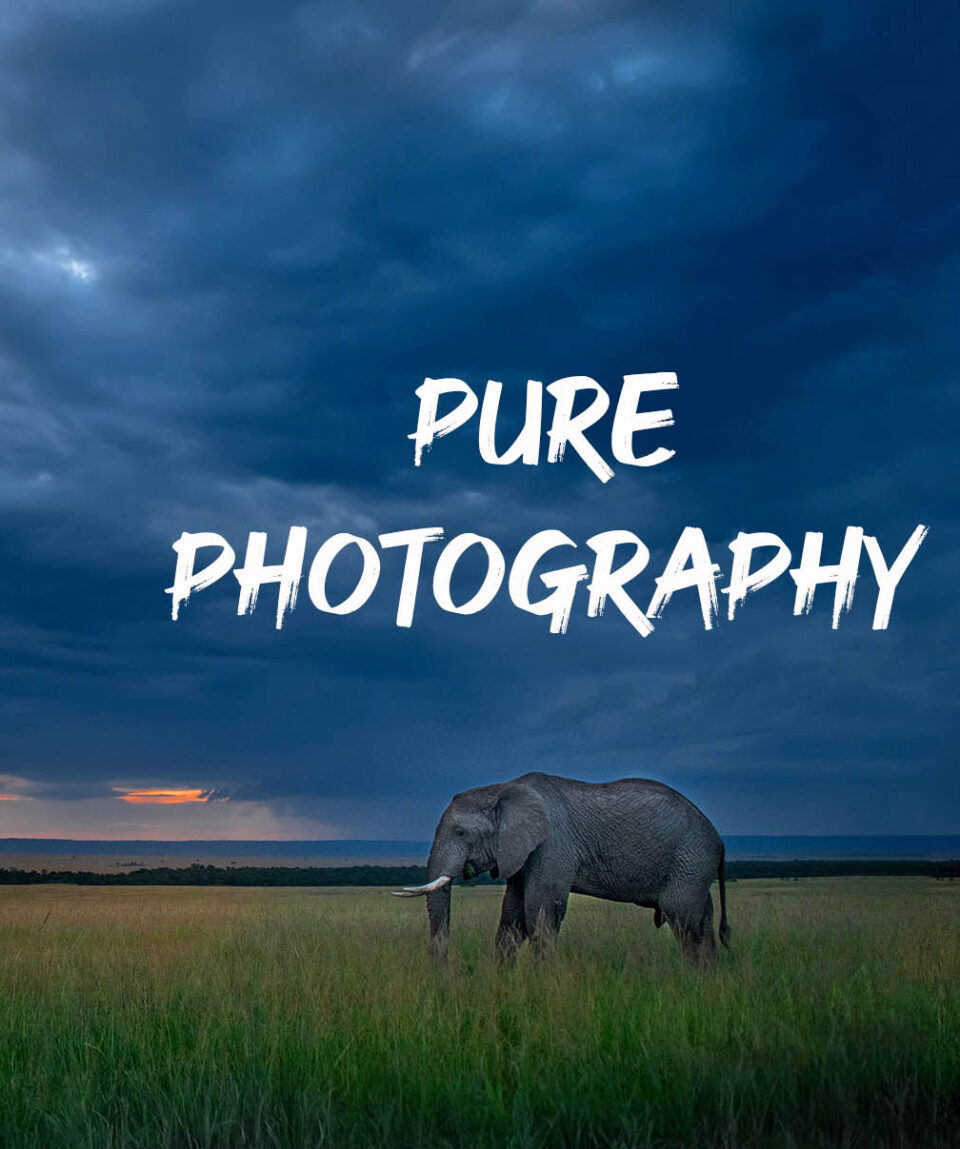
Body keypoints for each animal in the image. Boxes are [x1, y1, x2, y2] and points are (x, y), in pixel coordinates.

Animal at [392, 767, 730, 965]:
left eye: (461, 833)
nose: (440, 964)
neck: (502, 789)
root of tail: (720, 840)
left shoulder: (553, 843)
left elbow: (540, 908)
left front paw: (539, 983)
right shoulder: (521, 850)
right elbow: (513, 914)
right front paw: (503, 981)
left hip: (690, 858)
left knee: (683, 918)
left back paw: (694, 977)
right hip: (693, 865)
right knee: (703, 918)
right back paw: (711, 976)